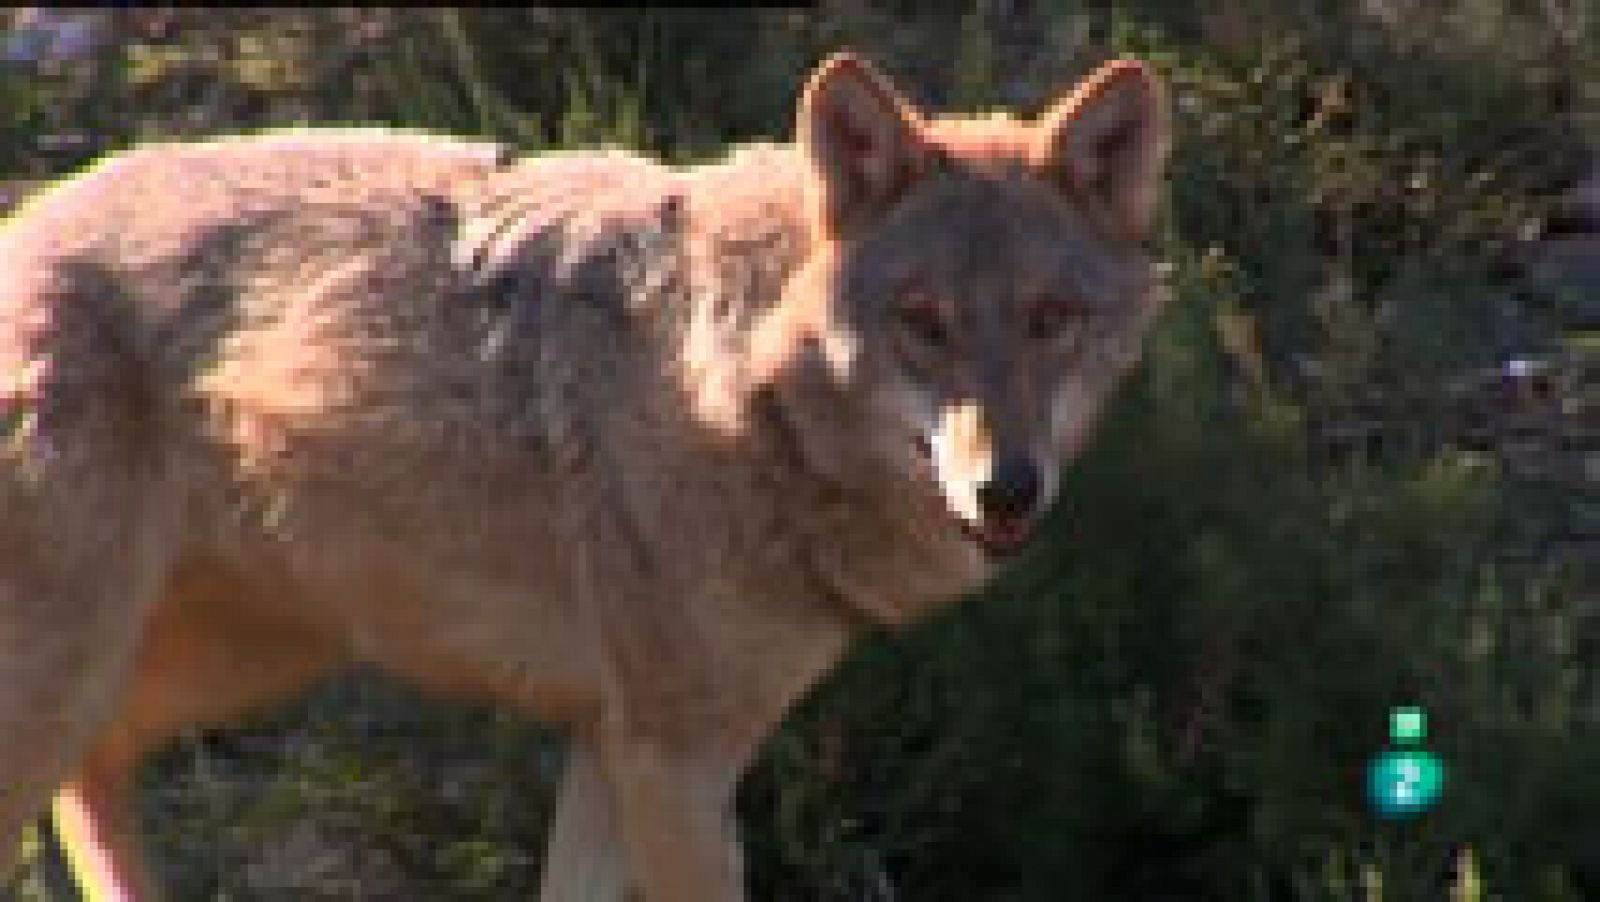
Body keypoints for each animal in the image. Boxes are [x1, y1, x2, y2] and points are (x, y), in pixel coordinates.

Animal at [0, 52, 1177, 895]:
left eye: (1052, 319)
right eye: (923, 323)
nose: (1007, 488)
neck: (739, 400)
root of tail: (29, 215)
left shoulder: (615, 752)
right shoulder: (672, 766)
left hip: (241, 659)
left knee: (98, 770)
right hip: (91, 674)